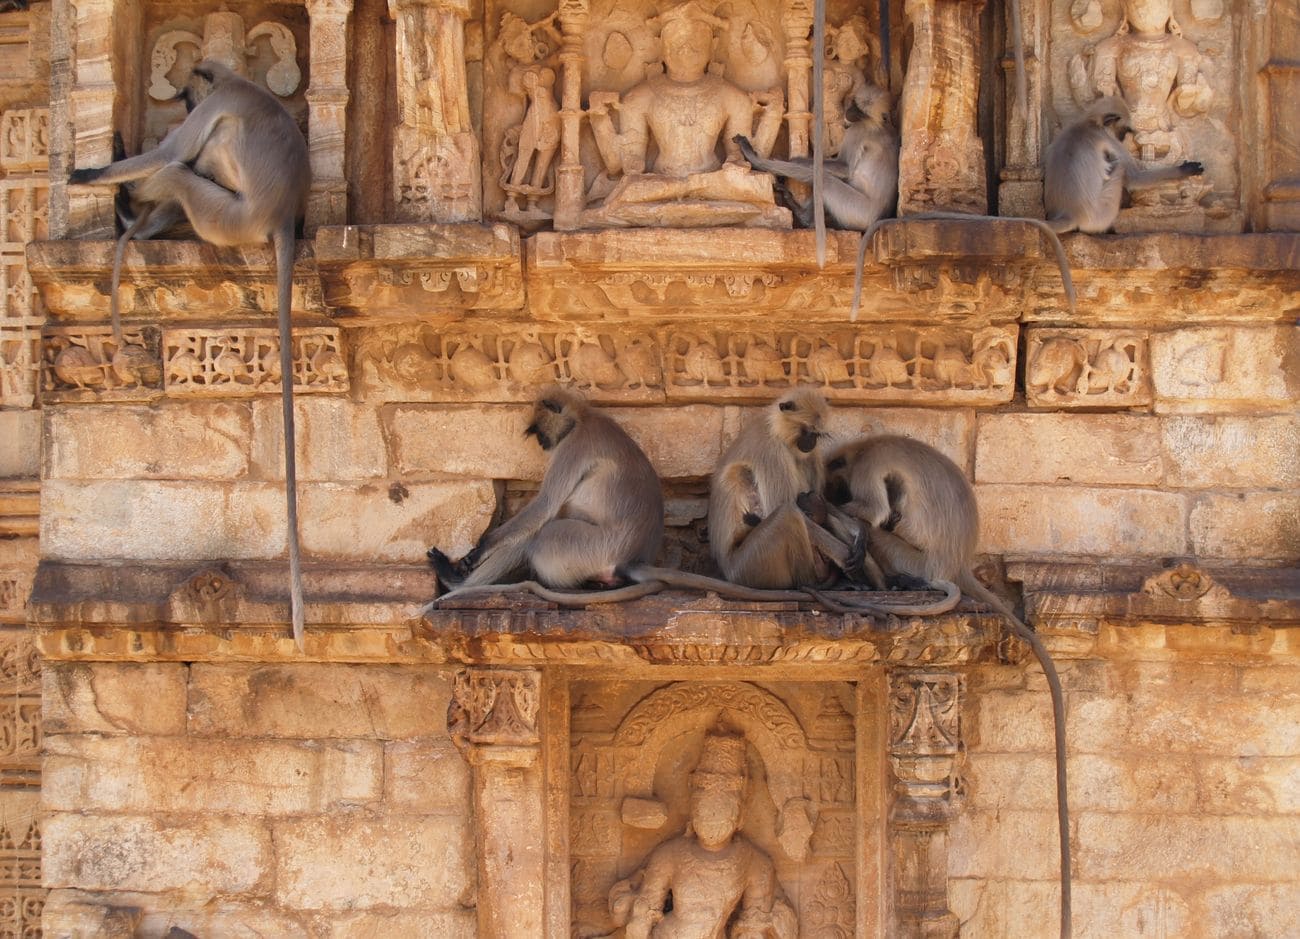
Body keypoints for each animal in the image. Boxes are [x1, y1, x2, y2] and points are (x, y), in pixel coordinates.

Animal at [71, 56, 312, 645]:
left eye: (185, 95)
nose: (181, 102)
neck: (238, 82)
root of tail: (281, 217)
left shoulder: (218, 103)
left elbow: (170, 154)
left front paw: (90, 174)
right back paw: (135, 220)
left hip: (227, 219)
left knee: (185, 170)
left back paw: (129, 213)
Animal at [738, 83, 899, 232]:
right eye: (854, 104)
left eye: (860, 113)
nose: (850, 112)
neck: (882, 126)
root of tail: (878, 217)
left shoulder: (859, 129)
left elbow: (844, 167)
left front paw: (757, 158)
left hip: (858, 211)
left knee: (825, 181)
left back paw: (803, 216)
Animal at [826, 434, 1071, 936]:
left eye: (836, 477)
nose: (827, 487)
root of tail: (958, 567)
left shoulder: (868, 465)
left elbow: (873, 513)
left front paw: (827, 504)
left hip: (912, 556)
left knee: (877, 530)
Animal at [1040, 96, 1201, 234]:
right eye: (1124, 129)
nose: (1123, 137)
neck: (1089, 123)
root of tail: (1069, 214)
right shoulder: (1109, 139)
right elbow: (1135, 178)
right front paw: (1185, 170)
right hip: (1100, 214)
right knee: (1120, 169)